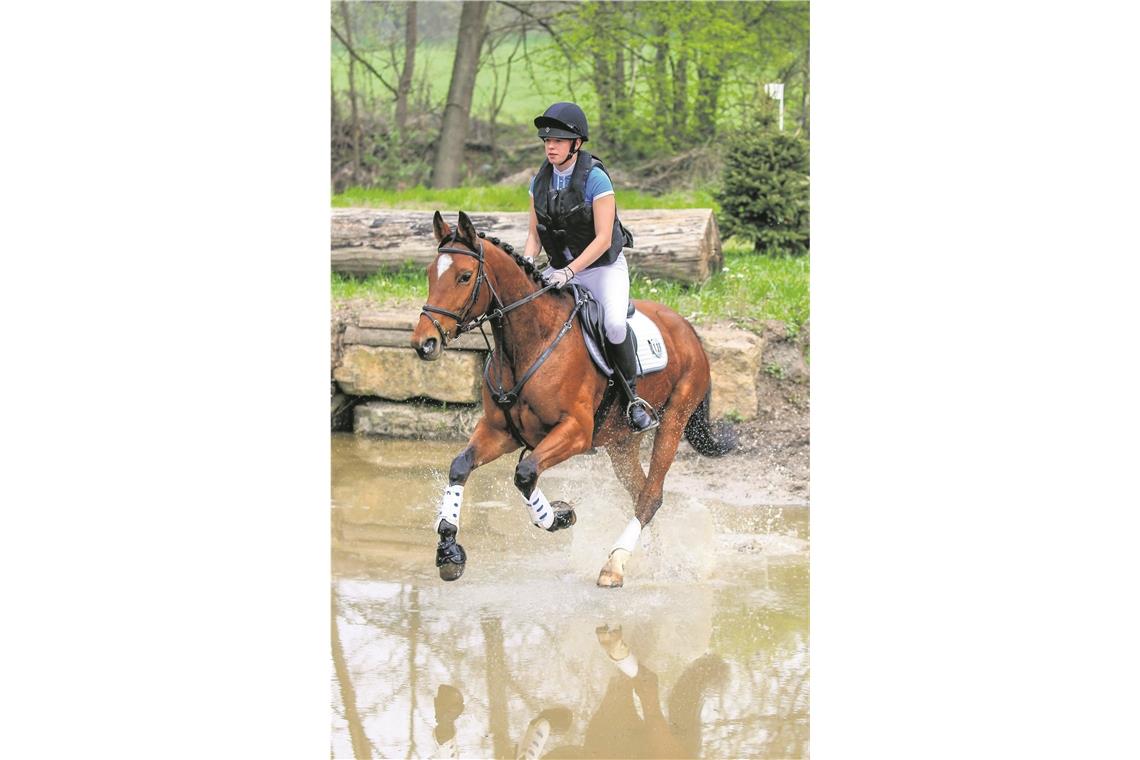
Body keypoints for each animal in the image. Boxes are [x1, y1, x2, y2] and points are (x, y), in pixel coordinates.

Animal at [410, 210, 729, 592]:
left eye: (464, 276)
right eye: (431, 274)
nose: (424, 343)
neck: (529, 342)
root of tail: (689, 329)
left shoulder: (574, 431)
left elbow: (525, 474)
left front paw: (558, 516)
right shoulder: (501, 431)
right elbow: (460, 466)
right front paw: (448, 550)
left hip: (674, 418)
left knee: (651, 493)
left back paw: (615, 564)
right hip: (620, 442)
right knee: (642, 492)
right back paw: (653, 558)